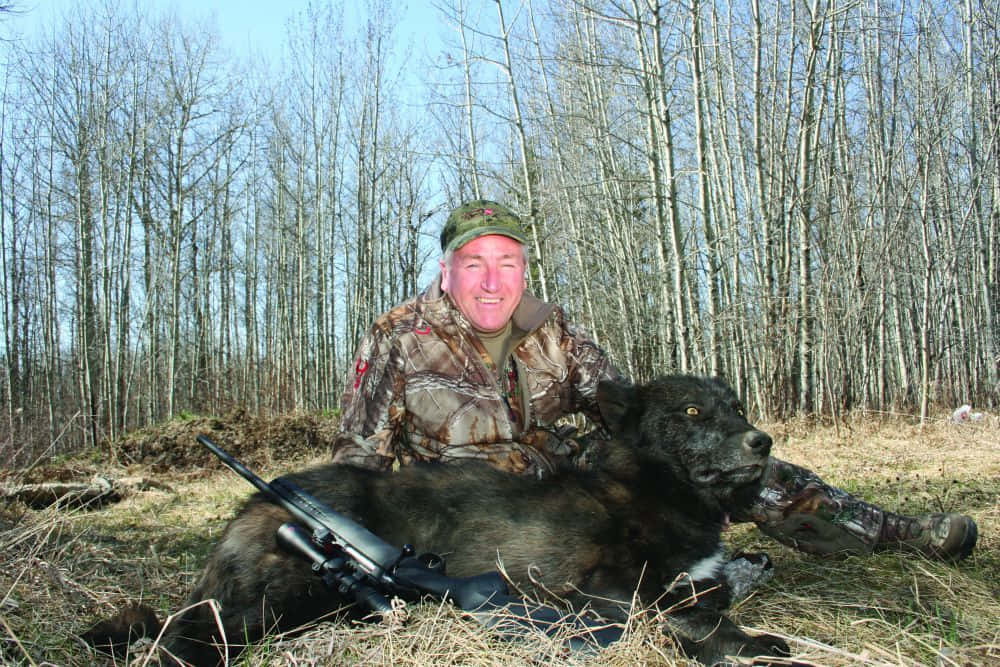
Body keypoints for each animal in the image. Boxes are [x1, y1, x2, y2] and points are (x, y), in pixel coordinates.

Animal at [84, 375, 792, 665]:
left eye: (735, 405)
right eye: (693, 412)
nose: (762, 443)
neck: (655, 489)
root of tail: (256, 502)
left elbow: (717, 595)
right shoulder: (605, 593)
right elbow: (697, 622)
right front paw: (754, 645)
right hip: (286, 597)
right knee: (183, 636)